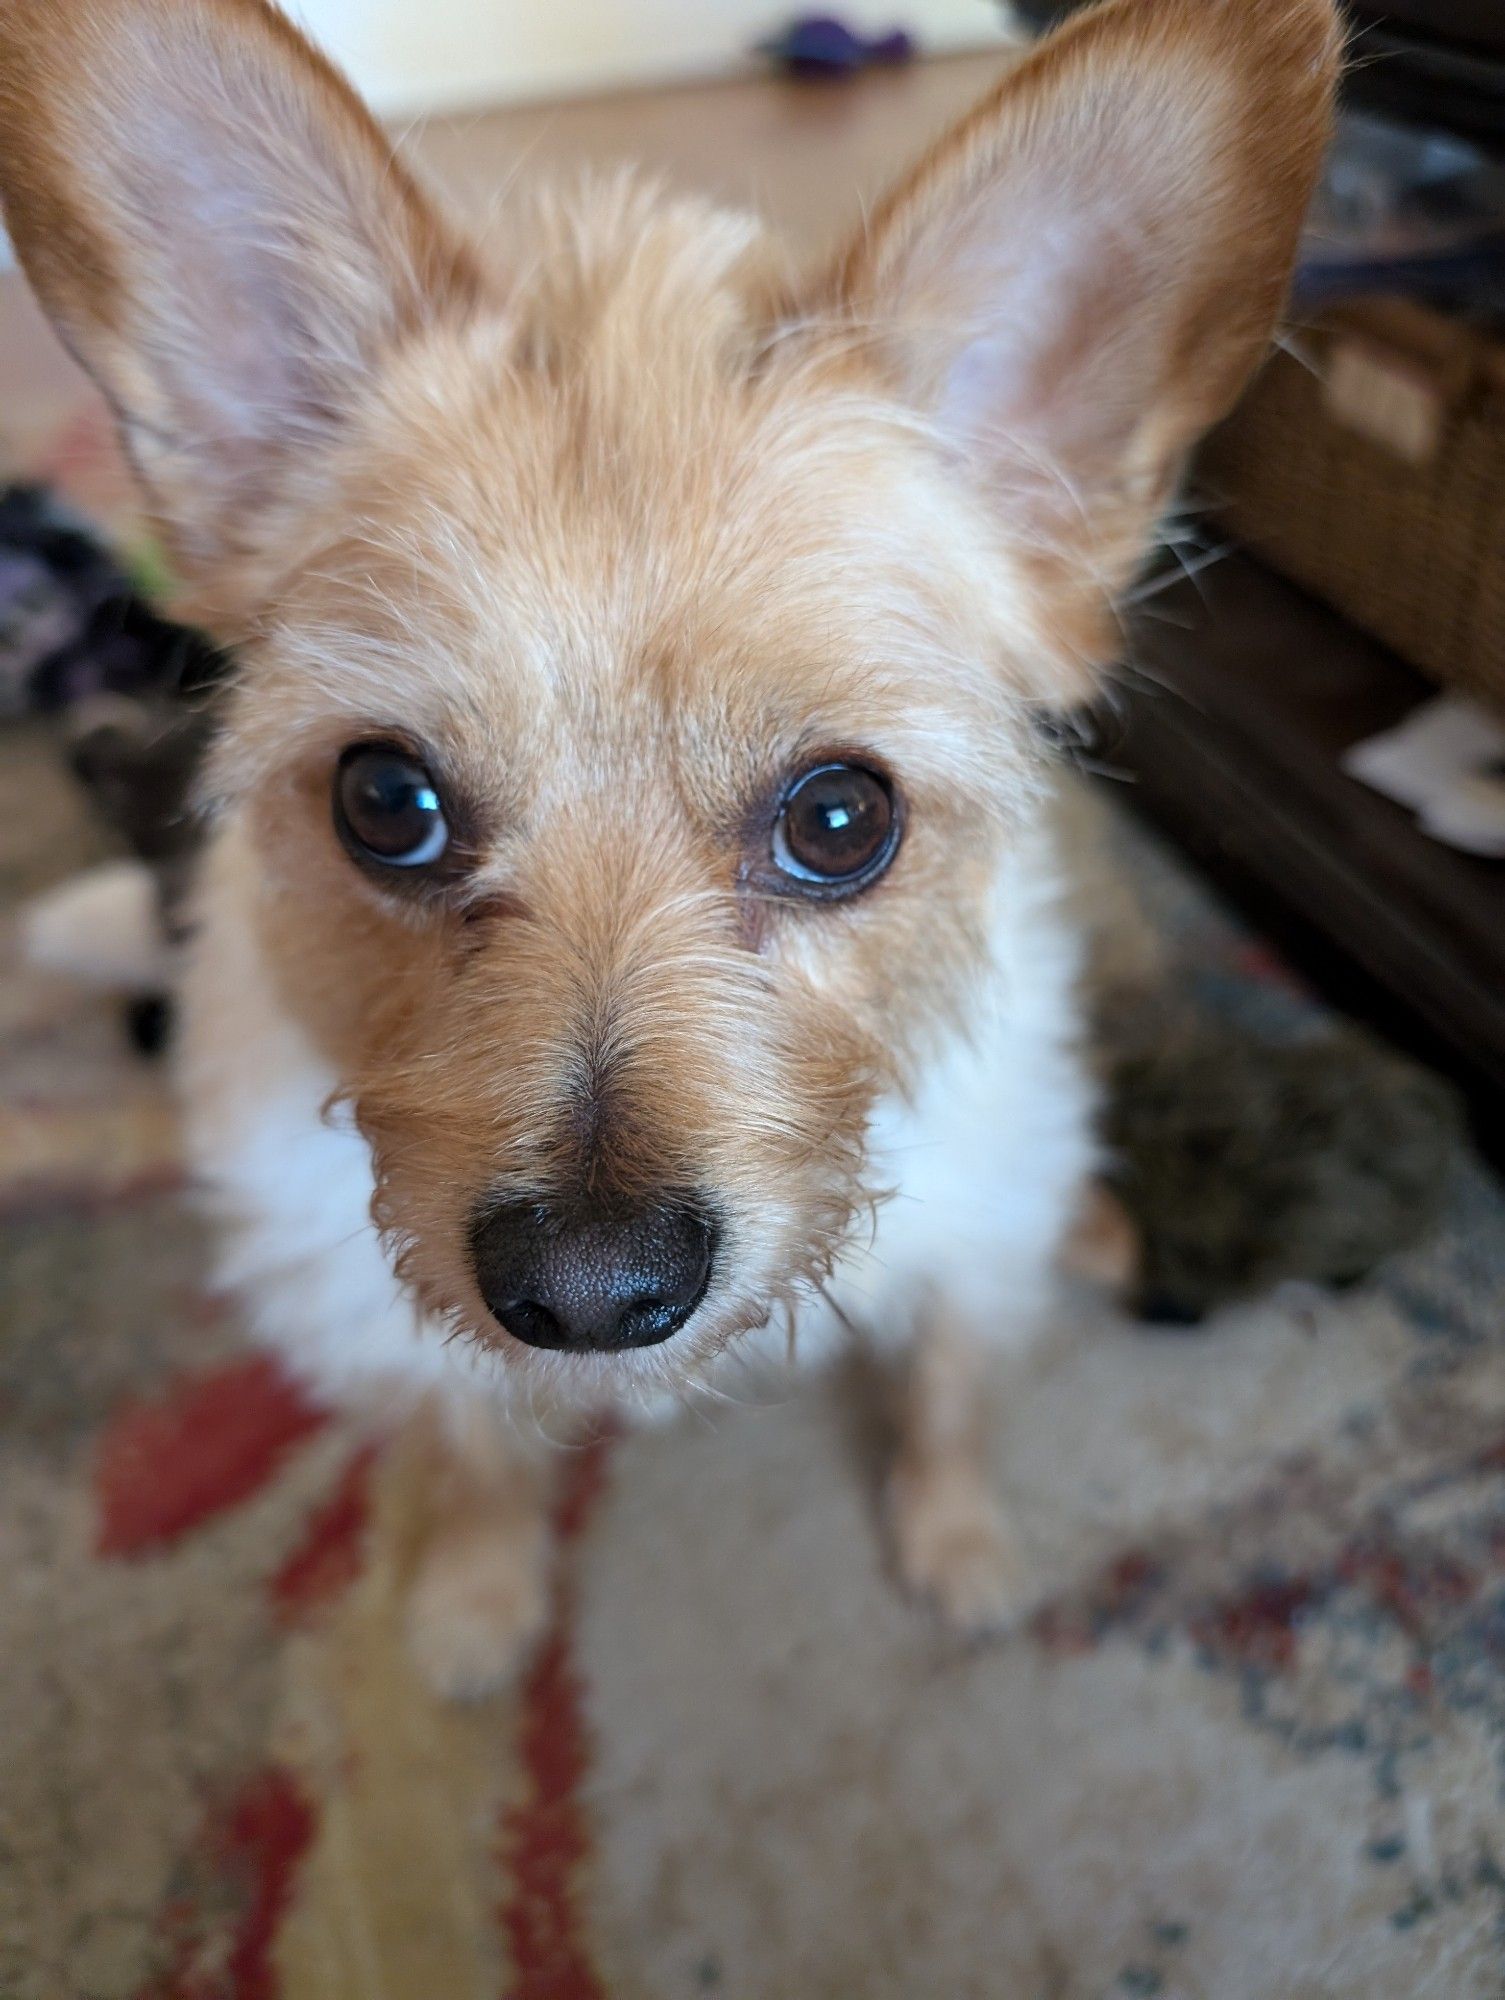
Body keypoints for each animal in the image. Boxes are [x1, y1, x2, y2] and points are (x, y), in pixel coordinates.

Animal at [2, 0, 1336, 1696]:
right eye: (386, 802)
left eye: (839, 819)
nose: (585, 1296)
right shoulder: (383, 1325)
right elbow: (471, 1454)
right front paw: (472, 1602)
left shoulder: (967, 1247)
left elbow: (949, 1394)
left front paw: (961, 1549)